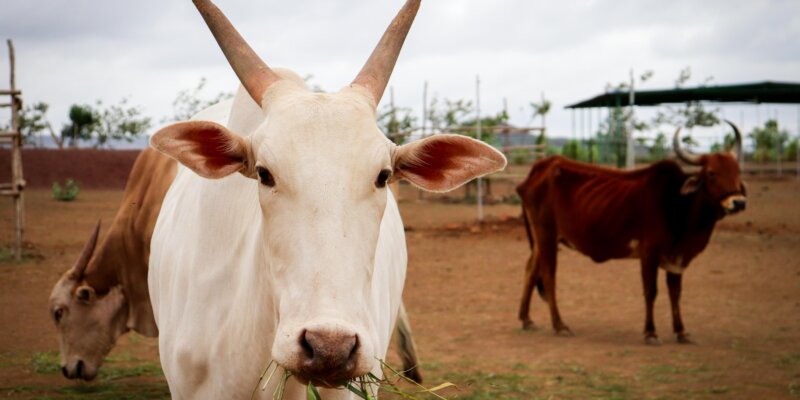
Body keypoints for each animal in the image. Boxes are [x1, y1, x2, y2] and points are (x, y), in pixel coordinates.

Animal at [516, 122, 748, 344]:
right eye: (711, 173)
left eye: (737, 171)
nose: (738, 202)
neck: (677, 203)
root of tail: (540, 167)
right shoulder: (649, 253)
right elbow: (651, 291)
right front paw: (650, 333)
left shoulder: (676, 259)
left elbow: (675, 294)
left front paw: (681, 331)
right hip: (546, 235)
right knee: (548, 277)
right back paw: (560, 325)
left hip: (541, 240)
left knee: (530, 271)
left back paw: (526, 319)